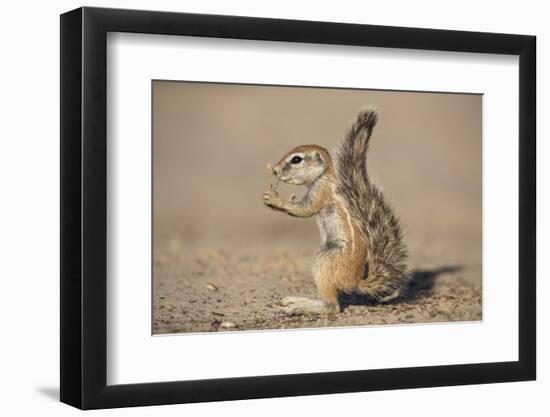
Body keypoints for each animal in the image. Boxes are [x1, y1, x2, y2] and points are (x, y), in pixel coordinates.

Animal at [264, 107, 410, 312]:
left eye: (296, 159)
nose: (275, 170)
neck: (324, 176)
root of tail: (355, 281)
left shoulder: (321, 193)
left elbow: (305, 210)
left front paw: (275, 199)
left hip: (325, 261)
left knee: (332, 306)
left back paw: (299, 305)